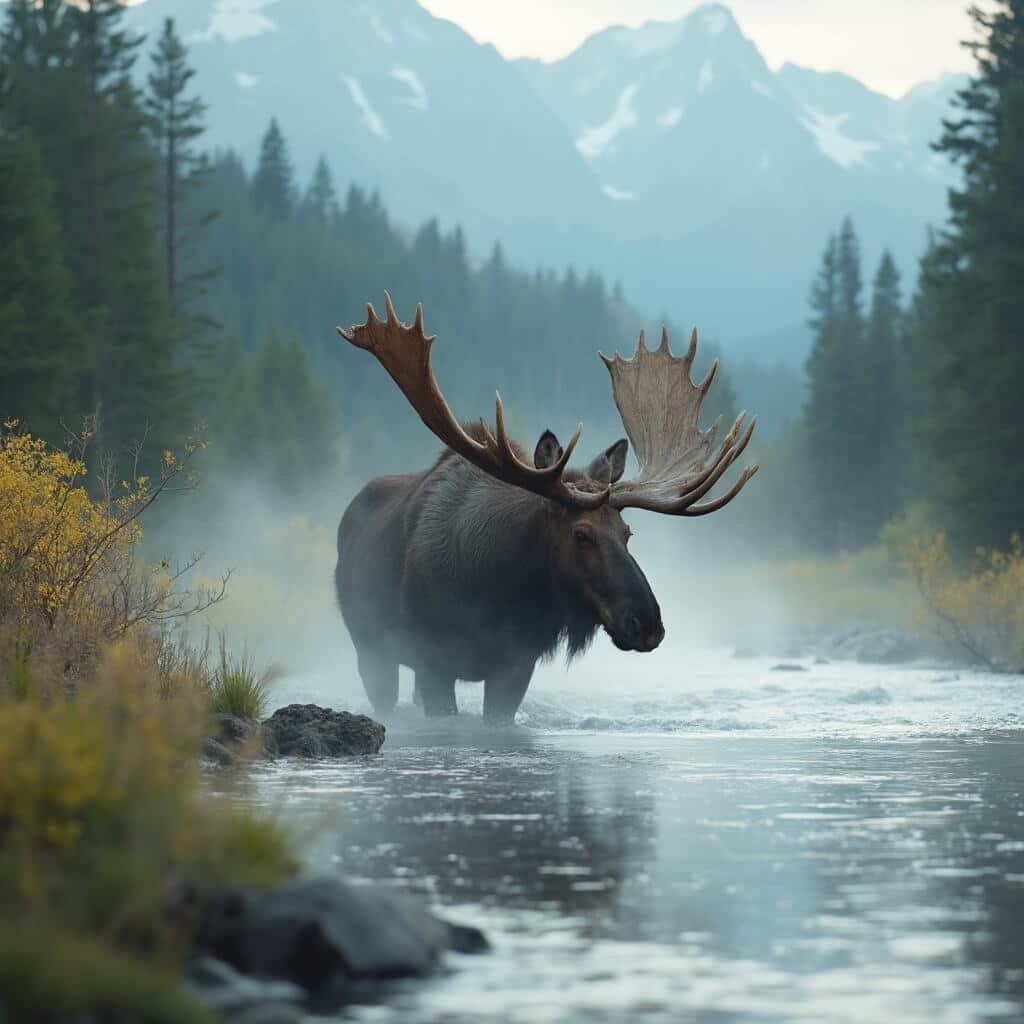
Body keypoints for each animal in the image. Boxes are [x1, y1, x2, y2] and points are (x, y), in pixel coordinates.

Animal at [334, 294, 758, 724]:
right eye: (580, 533)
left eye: (628, 534)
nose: (647, 623)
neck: (495, 595)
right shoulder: (432, 659)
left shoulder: (517, 666)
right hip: (370, 647)